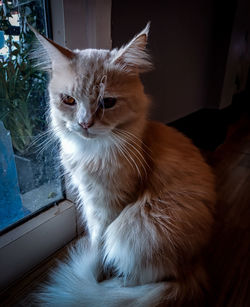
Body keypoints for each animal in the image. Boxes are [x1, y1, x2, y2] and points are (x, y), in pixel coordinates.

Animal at [31, 22, 215, 306]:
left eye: (107, 102)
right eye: (69, 100)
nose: (84, 123)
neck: (90, 153)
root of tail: (193, 268)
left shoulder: (108, 207)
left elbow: (99, 247)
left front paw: (97, 277)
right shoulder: (89, 199)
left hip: (136, 230)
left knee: (137, 278)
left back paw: (115, 284)